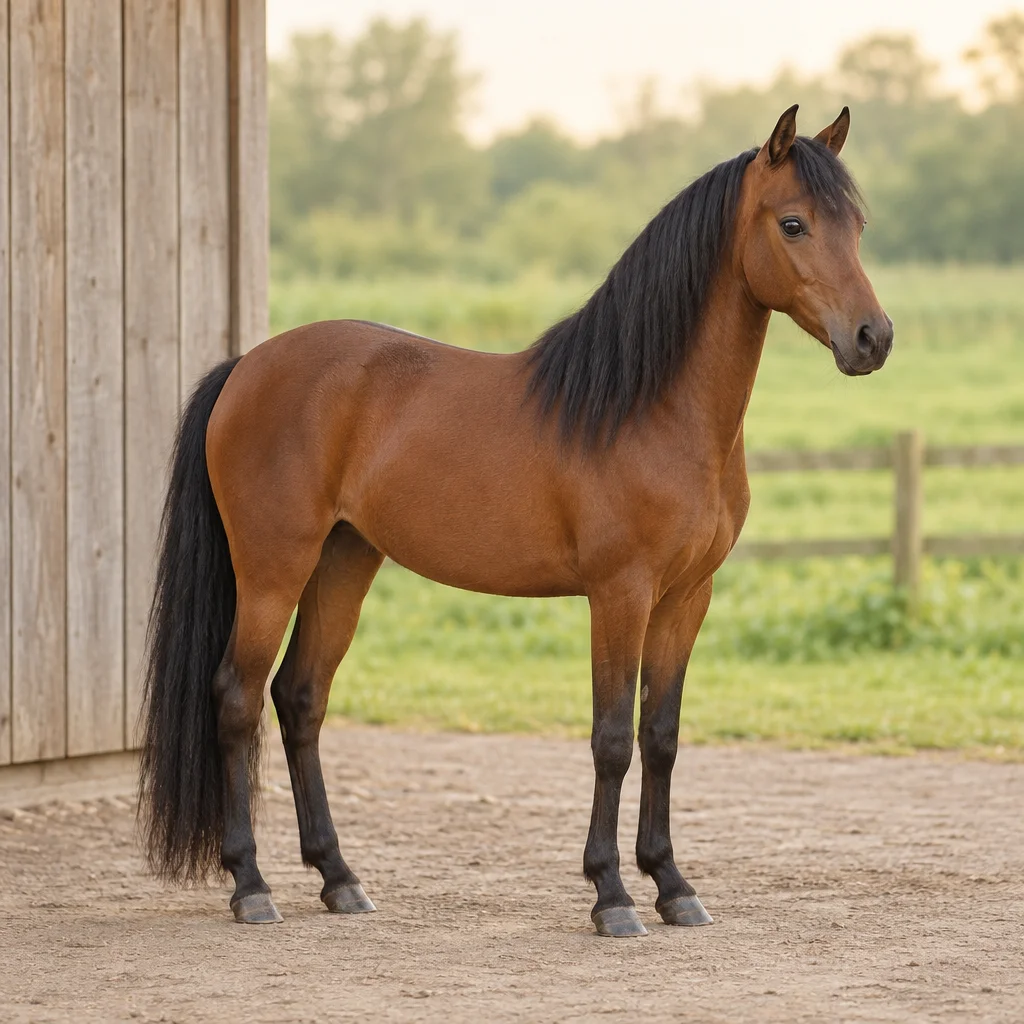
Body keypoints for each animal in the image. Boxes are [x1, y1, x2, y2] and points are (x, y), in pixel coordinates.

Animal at [140, 104, 892, 937]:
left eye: (857, 225)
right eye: (793, 223)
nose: (873, 338)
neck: (654, 408)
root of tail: (245, 367)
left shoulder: (686, 598)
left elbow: (660, 737)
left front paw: (673, 886)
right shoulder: (620, 594)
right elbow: (611, 738)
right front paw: (612, 895)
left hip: (344, 559)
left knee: (300, 700)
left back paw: (340, 878)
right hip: (273, 569)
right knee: (237, 700)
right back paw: (251, 885)